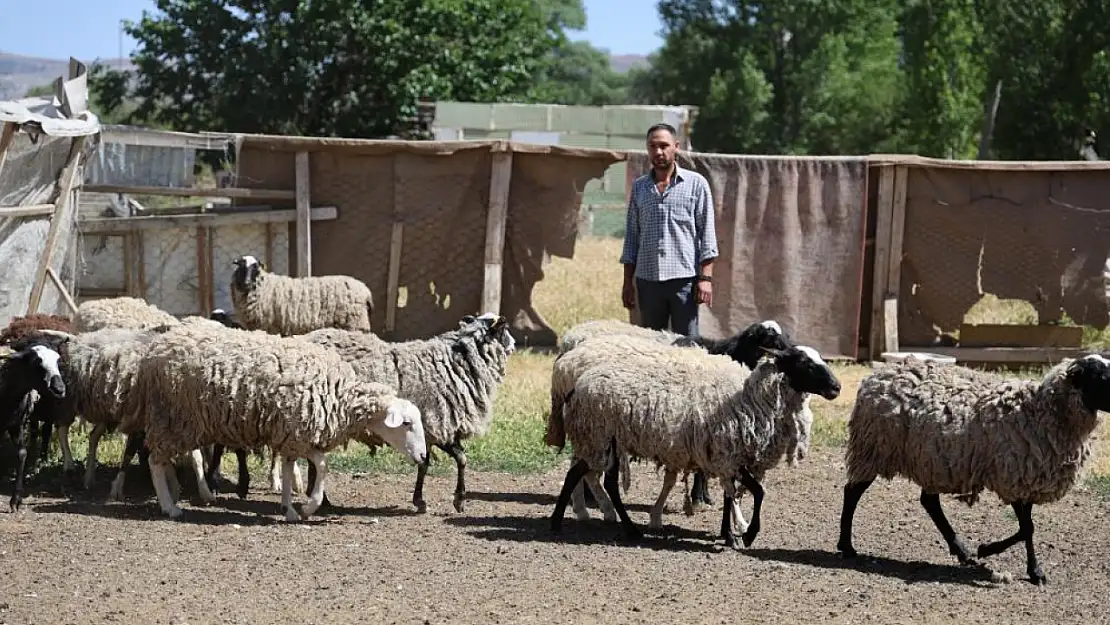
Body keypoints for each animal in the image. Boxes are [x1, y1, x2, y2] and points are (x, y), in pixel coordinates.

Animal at [127, 319, 426, 521]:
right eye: (406, 424)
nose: (424, 456)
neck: (340, 395)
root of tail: (154, 351)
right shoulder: (299, 433)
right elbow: (322, 466)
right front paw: (308, 507)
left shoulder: (291, 435)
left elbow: (289, 469)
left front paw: (289, 508)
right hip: (173, 417)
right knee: (155, 460)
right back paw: (170, 506)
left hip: (176, 421)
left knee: (164, 459)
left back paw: (176, 494)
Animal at [229, 253, 377, 337]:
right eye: (241, 266)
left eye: (255, 268)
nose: (247, 283)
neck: (264, 285)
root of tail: (365, 290)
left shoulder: (268, 325)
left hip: (355, 322)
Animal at [299, 310, 515, 512]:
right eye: (504, 328)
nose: (514, 345)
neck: (455, 363)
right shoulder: (436, 424)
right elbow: (457, 459)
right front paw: (455, 500)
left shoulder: (430, 430)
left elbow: (430, 461)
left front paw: (424, 500)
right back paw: (321, 500)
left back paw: (319, 499)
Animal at [555, 337, 839, 548]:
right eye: (804, 362)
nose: (836, 387)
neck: (749, 399)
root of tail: (579, 384)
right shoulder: (728, 455)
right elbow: (756, 492)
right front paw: (745, 534)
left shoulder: (729, 457)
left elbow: (735, 494)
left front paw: (729, 533)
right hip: (600, 437)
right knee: (596, 479)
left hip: (607, 442)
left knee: (586, 476)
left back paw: (565, 520)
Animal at [834, 355, 1110, 590]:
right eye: (1101, 376)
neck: (1040, 410)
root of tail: (876, 375)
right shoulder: (1012, 476)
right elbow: (1027, 529)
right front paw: (989, 550)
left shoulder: (1026, 480)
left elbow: (1027, 528)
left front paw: (1032, 570)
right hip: (873, 449)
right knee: (852, 492)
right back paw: (847, 546)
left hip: (932, 461)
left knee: (929, 502)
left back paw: (962, 551)